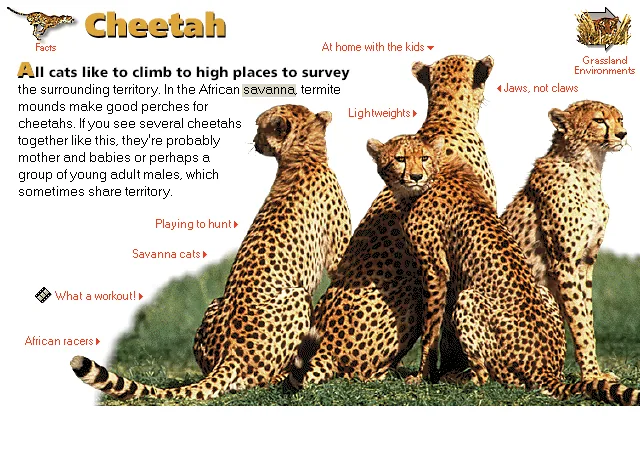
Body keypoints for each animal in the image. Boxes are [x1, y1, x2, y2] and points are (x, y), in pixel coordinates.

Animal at [71, 104, 352, 400]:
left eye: (259, 127)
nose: (253, 141)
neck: (300, 157)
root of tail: (228, 354)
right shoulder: (339, 256)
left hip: (215, 303)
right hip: (297, 296)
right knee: (261, 380)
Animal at [284, 55, 497, 391]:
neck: (447, 116)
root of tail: (325, 349)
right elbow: (442, 326)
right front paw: (444, 371)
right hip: (405, 305)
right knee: (360, 373)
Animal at [365, 133, 639, 405]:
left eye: (423, 158)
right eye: (400, 159)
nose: (415, 176)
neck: (436, 173)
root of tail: (547, 370)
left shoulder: (435, 269)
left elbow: (430, 330)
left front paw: (423, 376)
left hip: (469, 300)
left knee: (492, 379)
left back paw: (459, 379)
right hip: (544, 292)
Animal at [501, 100, 628, 382]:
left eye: (620, 119)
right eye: (599, 120)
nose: (623, 134)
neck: (589, 168)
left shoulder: (586, 262)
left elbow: (587, 317)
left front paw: (596, 373)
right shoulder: (564, 262)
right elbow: (579, 322)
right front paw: (591, 376)